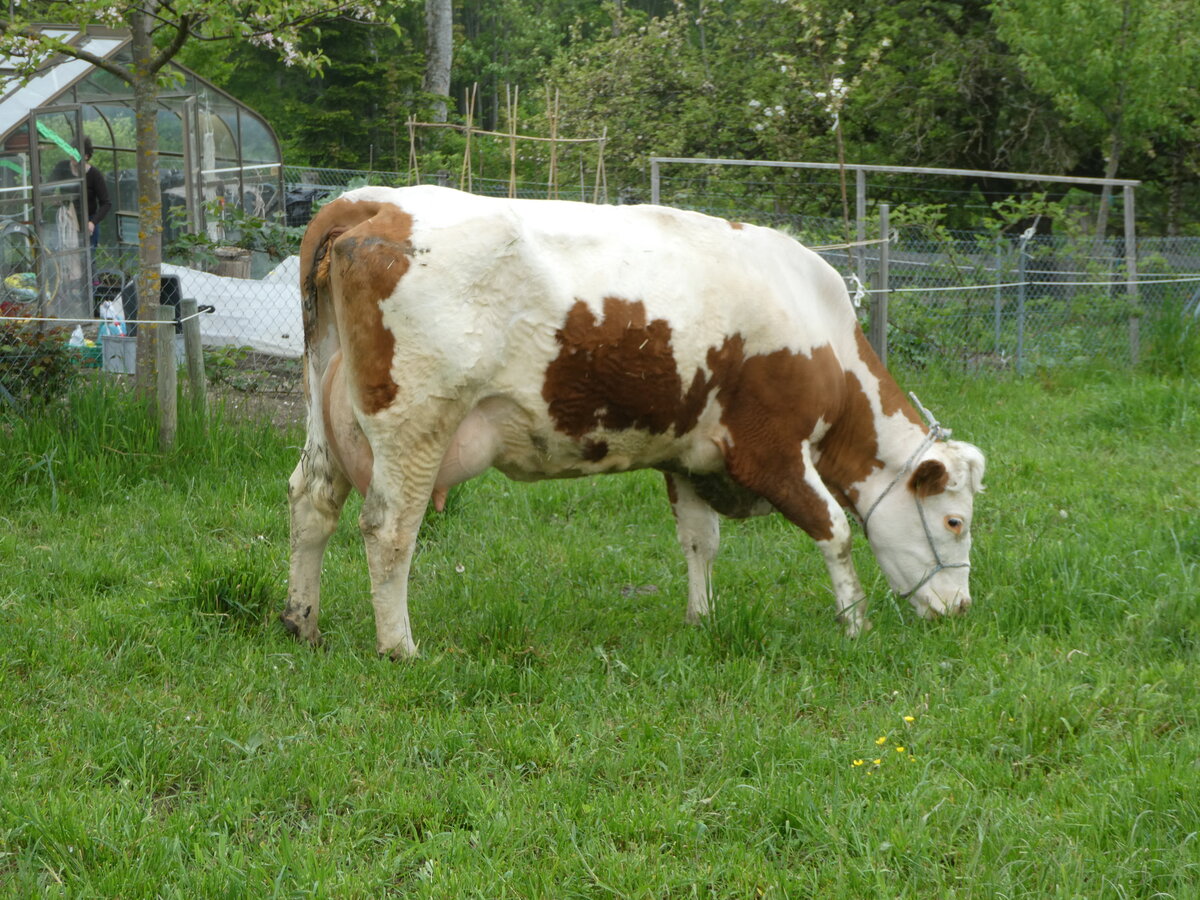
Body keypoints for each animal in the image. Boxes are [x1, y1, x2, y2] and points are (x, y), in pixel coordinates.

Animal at [282, 185, 985, 659]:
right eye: (955, 521)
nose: (960, 609)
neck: (816, 326)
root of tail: (375, 203)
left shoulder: (689, 455)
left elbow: (700, 542)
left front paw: (702, 619)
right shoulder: (770, 448)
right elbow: (835, 531)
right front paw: (855, 624)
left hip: (327, 419)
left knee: (312, 503)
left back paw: (302, 623)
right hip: (416, 423)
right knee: (389, 529)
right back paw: (399, 647)